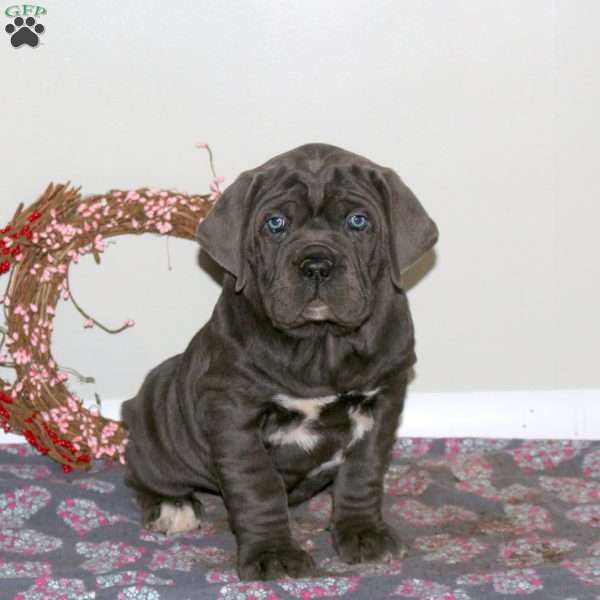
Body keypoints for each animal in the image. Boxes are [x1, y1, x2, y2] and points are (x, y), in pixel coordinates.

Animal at [122, 142, 438, 580]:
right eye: (276, 224)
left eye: (358, 221)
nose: (317, 264)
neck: (320, 345)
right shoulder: (235, 415)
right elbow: (258, 489)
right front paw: (273, 554)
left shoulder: (384, 401)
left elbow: (364, 474)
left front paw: (363, 534)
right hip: (156, 417)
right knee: (142, 472)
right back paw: (173, 506)